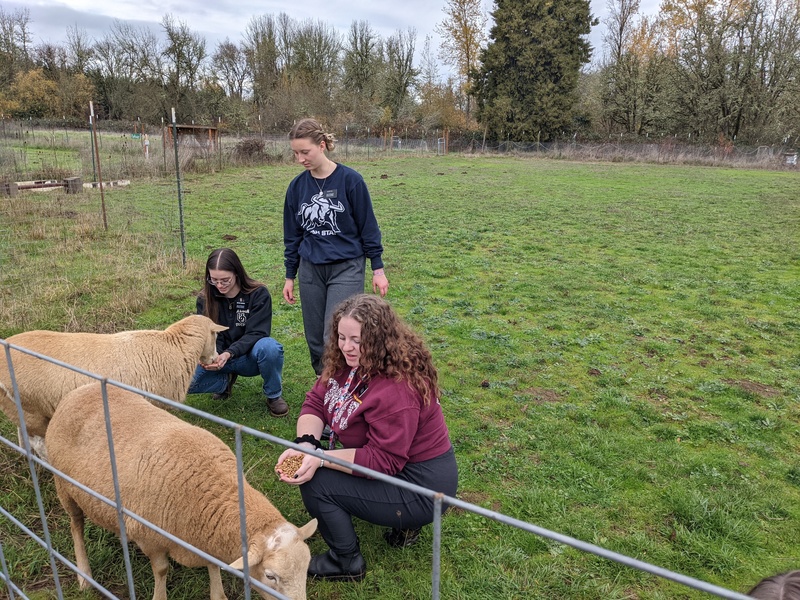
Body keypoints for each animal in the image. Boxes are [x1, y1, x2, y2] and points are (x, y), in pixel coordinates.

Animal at [0, 314, 227, 450]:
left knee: (24, 438)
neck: (173, 347)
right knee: (39, 444)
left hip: (20, 409)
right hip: (33, 409)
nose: (216, 359)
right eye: (215, 336)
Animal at [45, 382, 318, 600]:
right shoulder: (149, 537)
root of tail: (80, 389)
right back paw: (84, 575)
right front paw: (160, 596)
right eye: (271, 576)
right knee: (76, 526)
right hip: (64, 487)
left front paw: (218, 594)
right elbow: (162, 570)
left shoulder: (204, 538)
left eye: (306, 567)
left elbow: (212, 566)